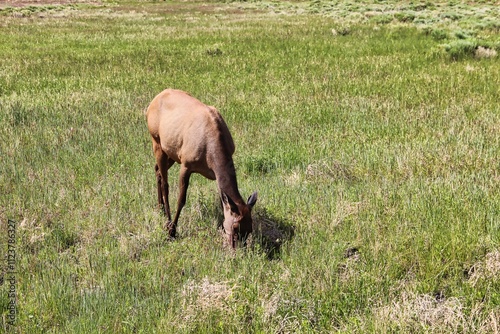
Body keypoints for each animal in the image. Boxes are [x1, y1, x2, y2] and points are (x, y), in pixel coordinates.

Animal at [146, 88, 258, 248]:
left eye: (250, 227)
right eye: (235, 226)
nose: (238, 247)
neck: (210, 155)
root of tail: (152, 102)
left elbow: (222, 199)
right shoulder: (186, 163)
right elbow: (181, 200)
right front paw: (173, 231)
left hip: (171, 151)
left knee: (157, 171)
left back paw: (159, 207)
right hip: (156, 140)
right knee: (165, 183)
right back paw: (167, 221)